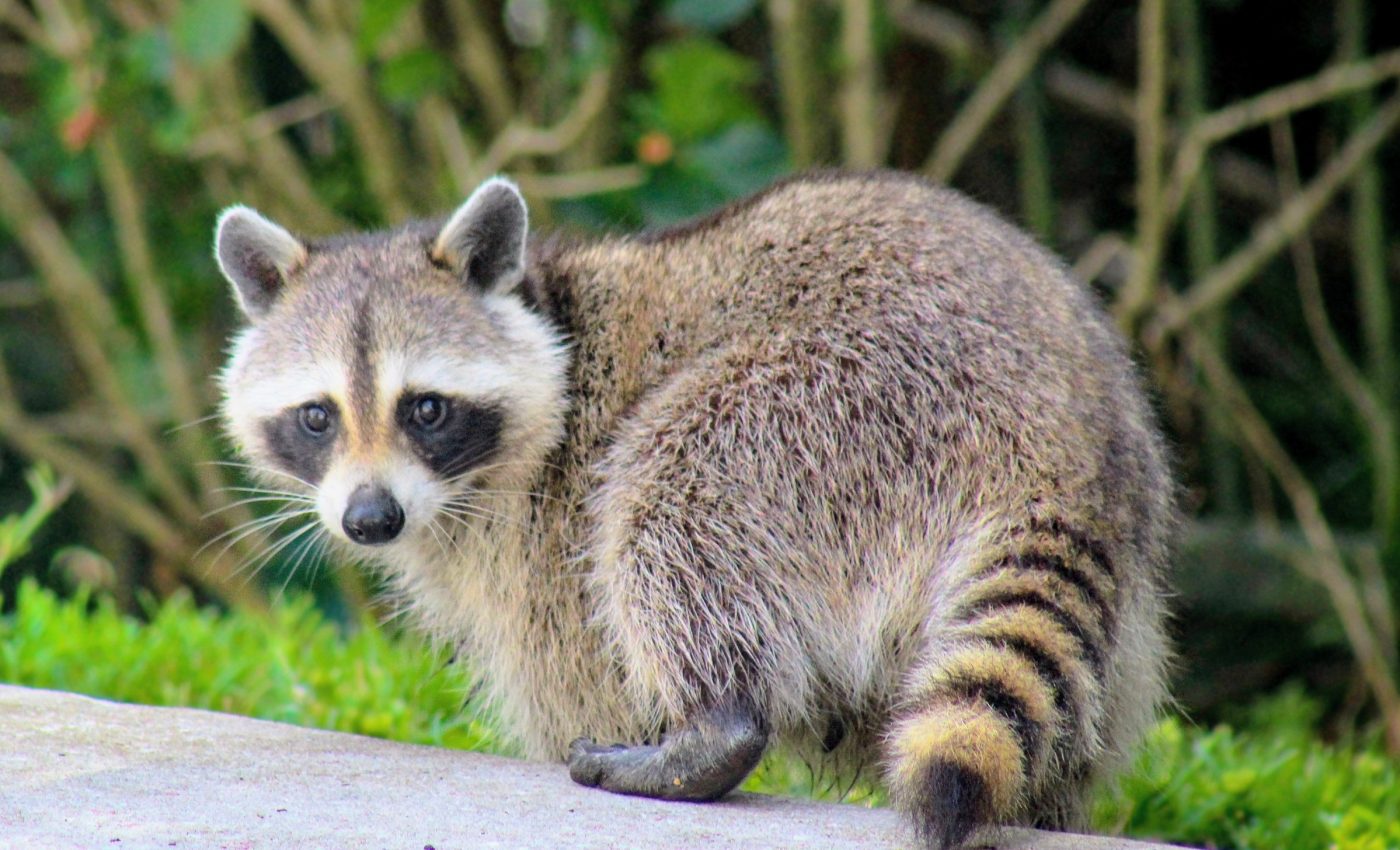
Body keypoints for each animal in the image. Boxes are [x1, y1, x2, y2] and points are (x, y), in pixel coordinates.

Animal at [215, 170, 1174, 849]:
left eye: (424, 409)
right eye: (317, 417)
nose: (370, 519)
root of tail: (1060, 437)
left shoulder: (548, 539)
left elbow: (586, 678)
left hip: (839, 405)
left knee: (670, 486)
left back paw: (714, 727)